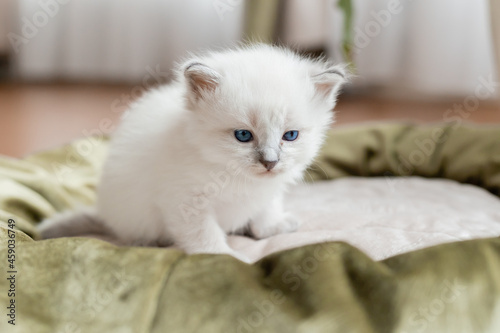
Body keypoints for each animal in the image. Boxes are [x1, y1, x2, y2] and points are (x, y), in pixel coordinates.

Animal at [39, 44, 346, 262]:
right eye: (243, 136)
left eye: (290, 136)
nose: (270, 162)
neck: (235, 176)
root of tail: (105, 215)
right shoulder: (185, 202)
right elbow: (205, 237)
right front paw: (228, 258)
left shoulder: (268, 191)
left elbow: (265, 211)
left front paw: (271, 227)